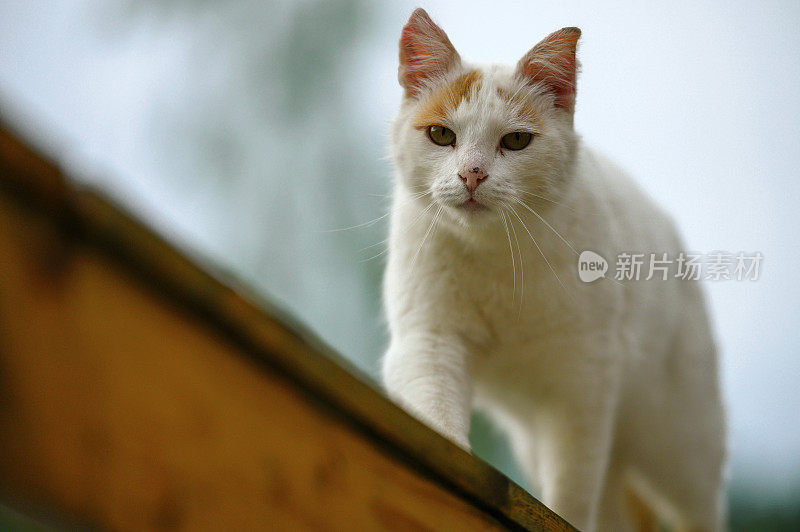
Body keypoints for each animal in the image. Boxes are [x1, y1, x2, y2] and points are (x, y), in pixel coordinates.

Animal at [382, 8, 724, 532]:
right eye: (441, 135)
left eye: (516, 140)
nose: (472, 174)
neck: (496, 255)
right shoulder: (428, 341)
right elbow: (437, 418)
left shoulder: (583, 381)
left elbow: (571, 490)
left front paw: (562, 516)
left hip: (679, 445)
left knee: (698, 509)